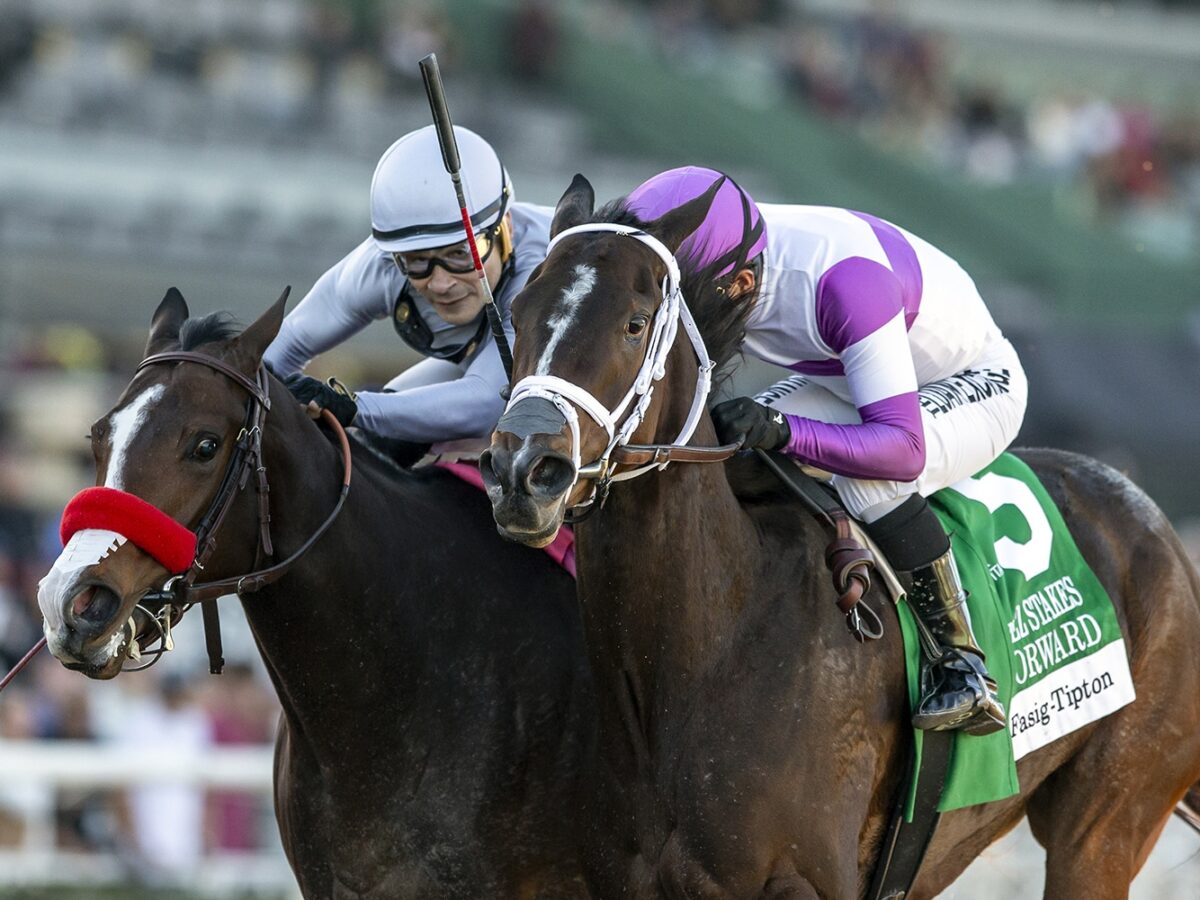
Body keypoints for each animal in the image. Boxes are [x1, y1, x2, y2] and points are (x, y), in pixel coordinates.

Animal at [480, 177, 1200, 900]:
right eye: (517, 309)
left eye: (633, 323)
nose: (524, 471)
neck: (708, 648)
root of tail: (1159, 530)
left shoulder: (809, 880)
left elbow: (899, 446)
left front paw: (757, 424)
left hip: (1102, 825)